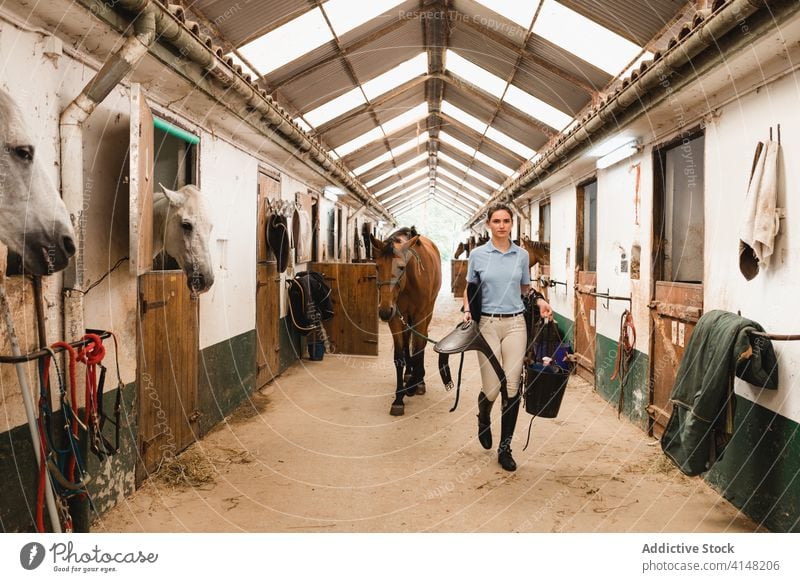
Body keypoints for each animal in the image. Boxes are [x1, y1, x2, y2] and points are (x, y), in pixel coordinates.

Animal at [370, 227, 440, 416]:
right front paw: (399, 398)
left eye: (401, 267)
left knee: (421, 341)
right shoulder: (395, 318)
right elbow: (399, 356)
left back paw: (418, 381)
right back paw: (409, 374)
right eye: (377, 267)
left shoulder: (420, 316)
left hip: (426, 313)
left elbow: (418, 349)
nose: (384, 311)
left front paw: (413, 385)